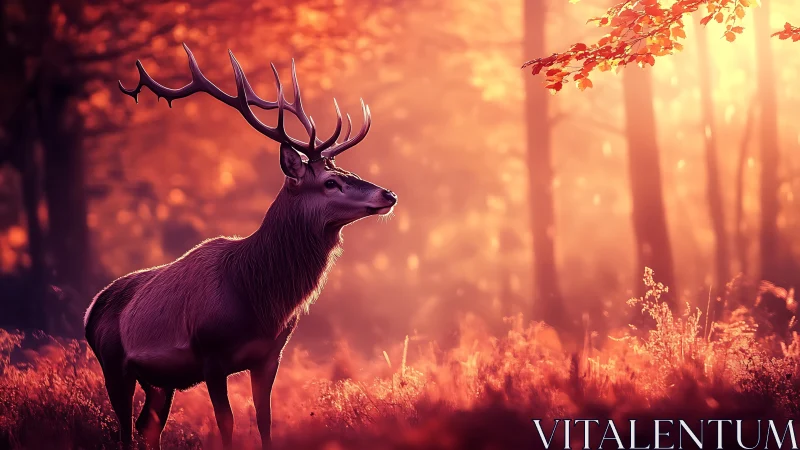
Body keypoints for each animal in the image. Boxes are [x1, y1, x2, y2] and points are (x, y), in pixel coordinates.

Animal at [84, 44, 397, 450]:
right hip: (112, 364)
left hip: (159, 381)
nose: (388, 194)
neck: (258, 297)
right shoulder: (211, 355)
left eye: (347, 172)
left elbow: (265, 420)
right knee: (124, 428)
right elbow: (227, 423)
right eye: (330, 182)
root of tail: (90, 309)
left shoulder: (269, 356)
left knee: (147, 426)